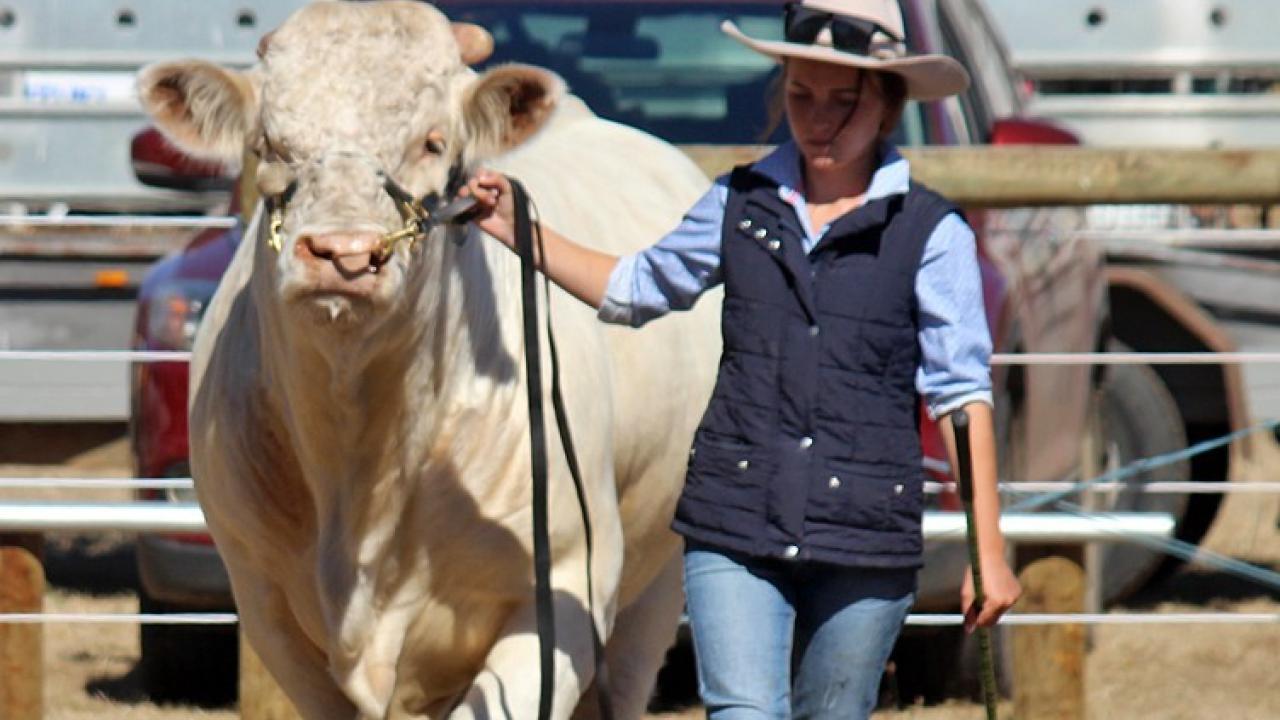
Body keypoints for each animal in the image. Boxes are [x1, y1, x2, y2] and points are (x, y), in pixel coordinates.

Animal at [142, 1, 721, 717]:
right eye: (269, 146)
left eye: (433, 142)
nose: (342, 252)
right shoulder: (264, 605)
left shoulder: (563, 595)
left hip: (655, 587)